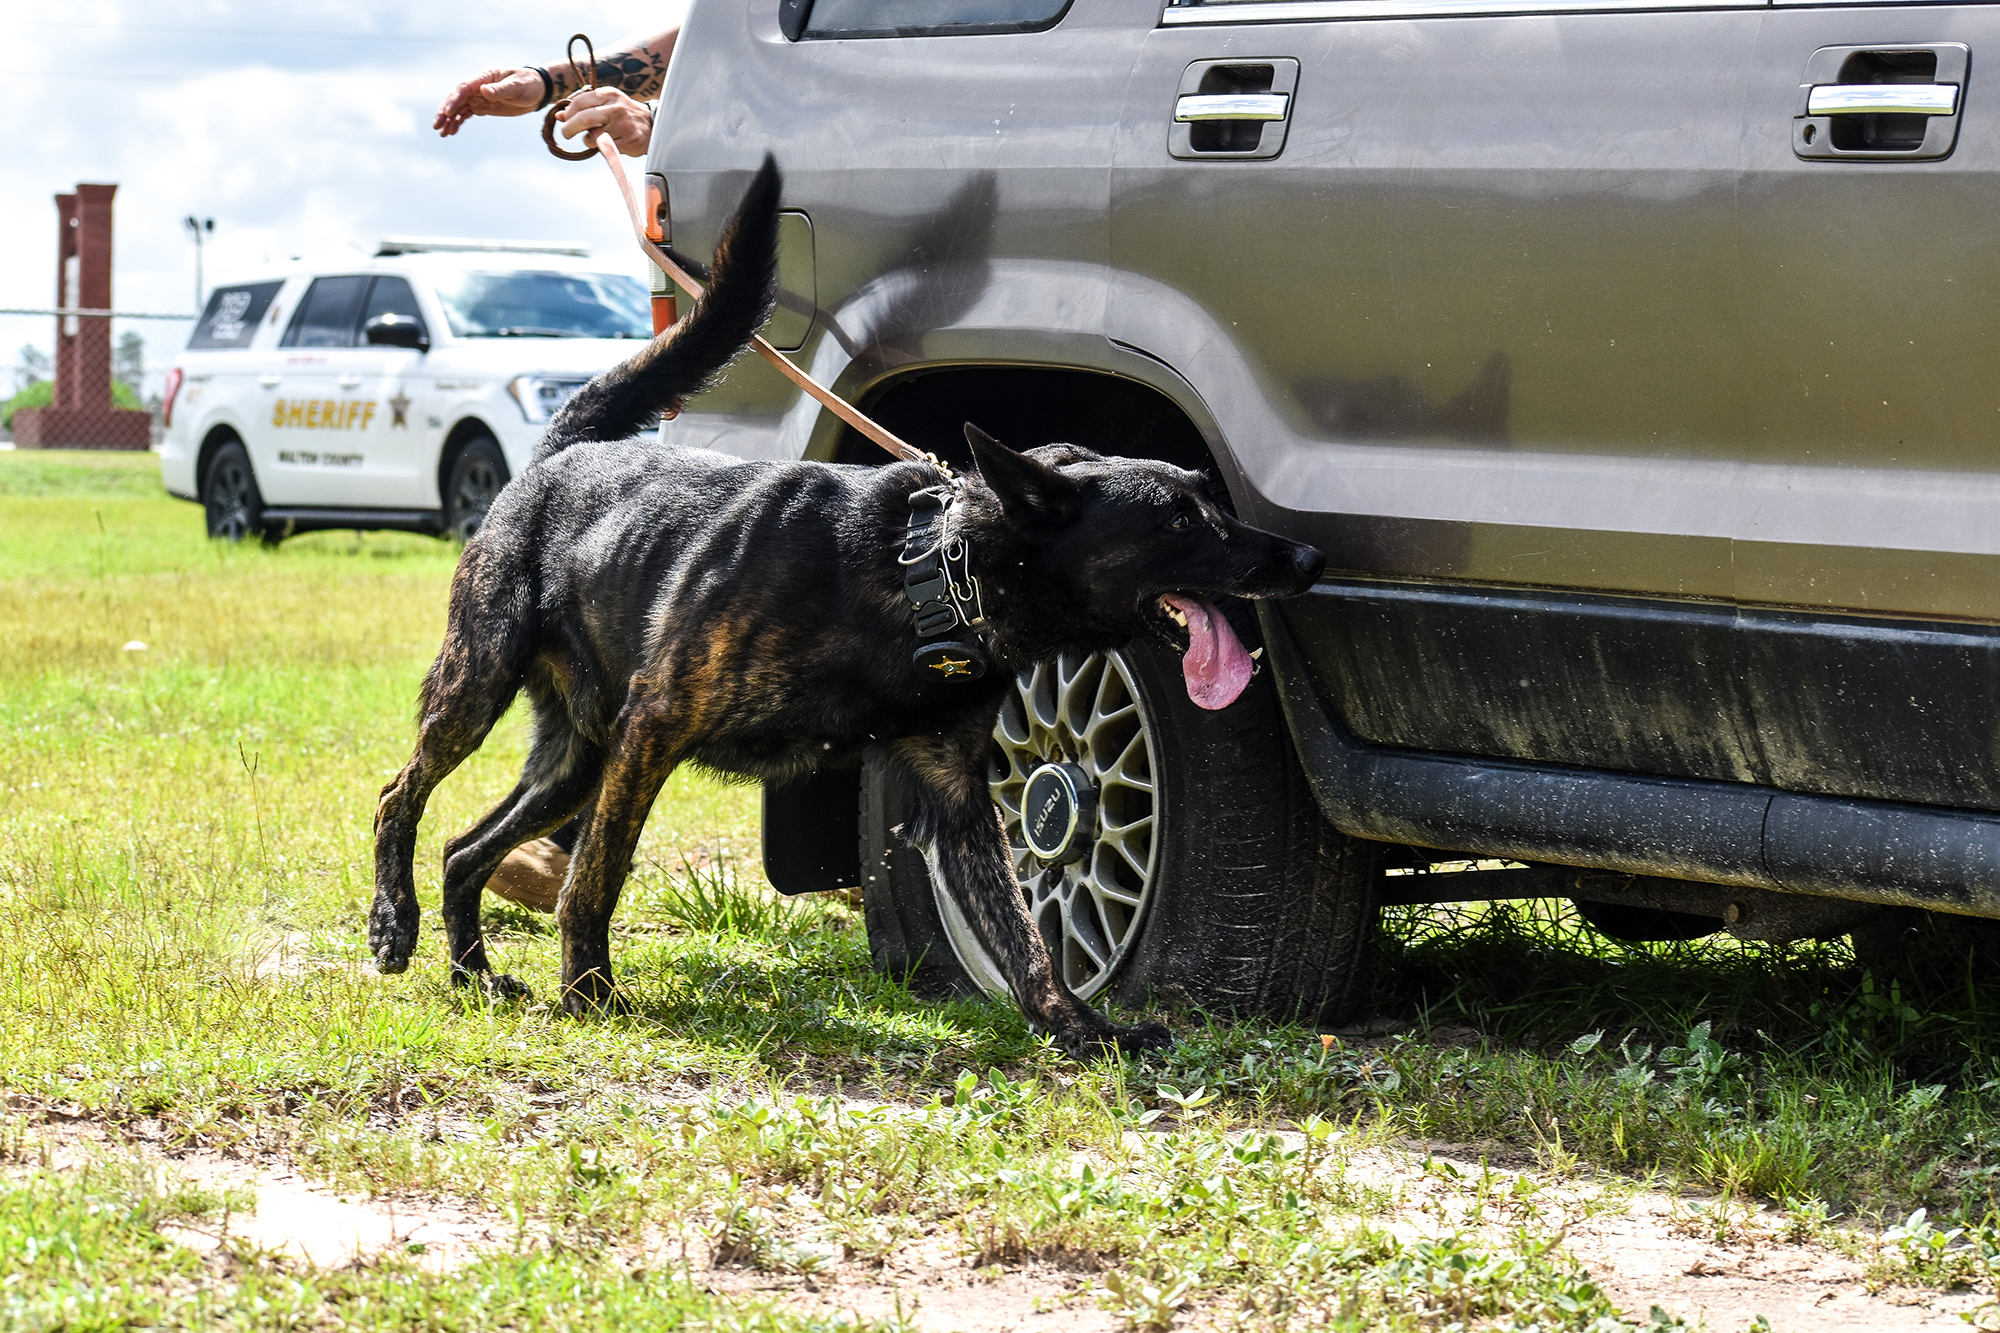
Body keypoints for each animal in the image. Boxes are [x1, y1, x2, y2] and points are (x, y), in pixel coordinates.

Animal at [368, 156, 1326, 1058]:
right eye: (1179, 520)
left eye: (1210, 496)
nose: (1307, 558)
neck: (924, 579)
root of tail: (561, 453)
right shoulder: (657, 724)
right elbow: (597, 873)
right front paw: (589, 989)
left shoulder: (957, 797)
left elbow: (1022, 935)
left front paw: (1082, 1027)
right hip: (484, 684)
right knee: (398, 795)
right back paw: (393, 923)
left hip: (576, 754)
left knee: (464, 849)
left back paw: (473, 971)